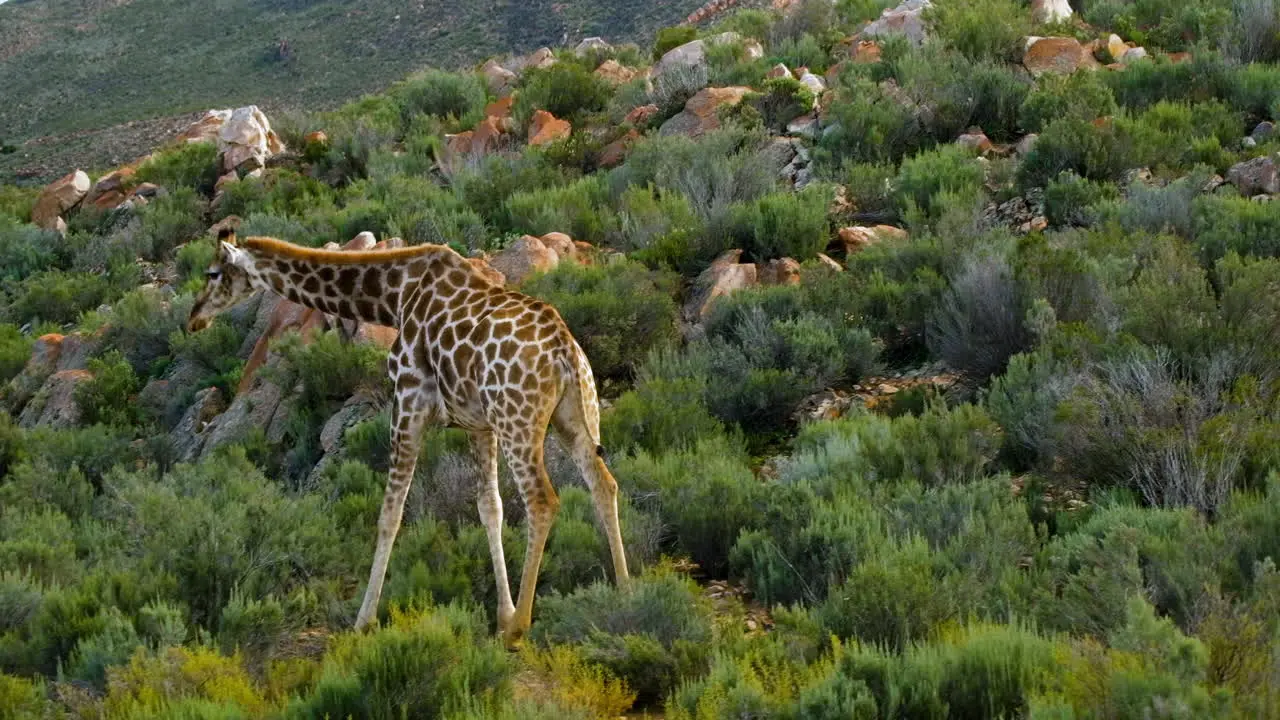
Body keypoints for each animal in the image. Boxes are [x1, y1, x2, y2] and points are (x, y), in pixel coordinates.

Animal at [186, 229, 629, 645]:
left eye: (212, 273)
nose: (194, 318)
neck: (394, 296)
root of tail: (564, 349)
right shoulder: (478, 424)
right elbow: (490, 507)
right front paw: (501, 616)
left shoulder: (408, 401)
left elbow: (390, 513)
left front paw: (363, 621)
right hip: (570, 416)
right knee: (603, 483)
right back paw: (625, 590)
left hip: (517, 418)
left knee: (542, 500)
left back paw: (522, 627)